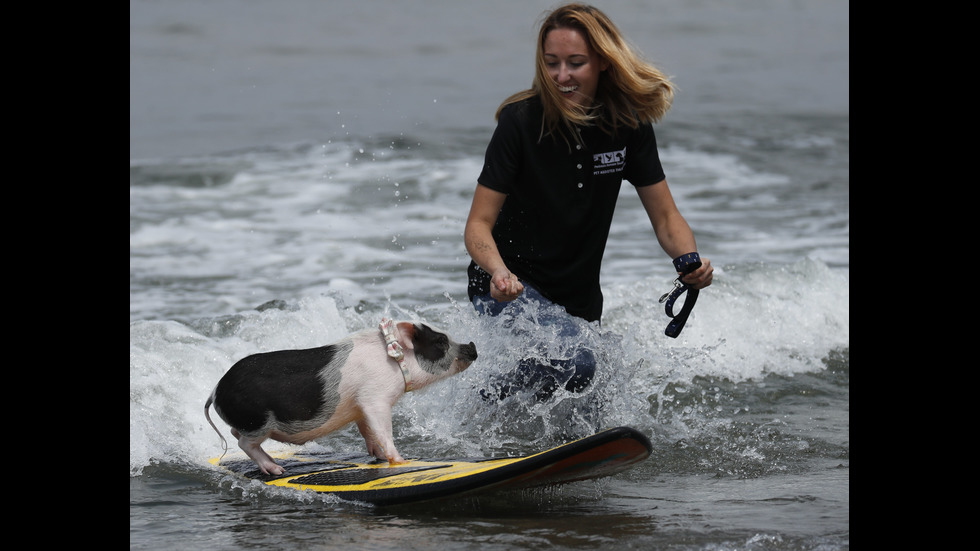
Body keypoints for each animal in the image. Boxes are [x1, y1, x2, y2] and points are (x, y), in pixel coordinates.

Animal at [205, 322, 476, 476]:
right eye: (440, 341)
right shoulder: (375, 398)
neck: (396, 361)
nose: (473, 346)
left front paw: (378, 457)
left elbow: (369, 431)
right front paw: (402, 460)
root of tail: (215, 390)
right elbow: (383, 430)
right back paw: (277, 469)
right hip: (258, 422)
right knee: (244, 443)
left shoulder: (360, 407)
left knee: (236, 435)